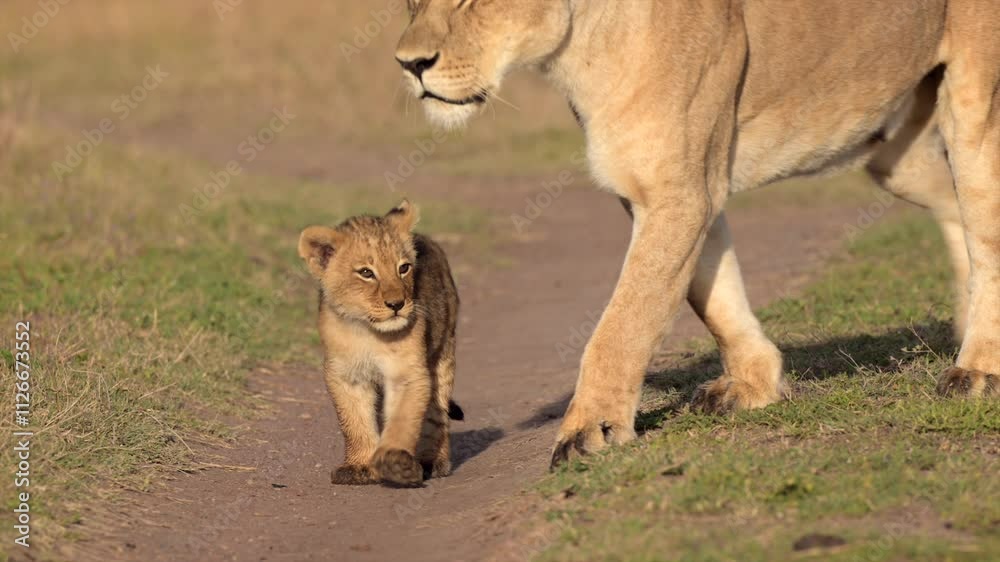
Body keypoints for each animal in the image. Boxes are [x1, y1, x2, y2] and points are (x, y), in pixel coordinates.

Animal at [395, 0, 1000, 468]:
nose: (410, 64)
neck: (580, 48)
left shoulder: (680, 191)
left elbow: (623, 323)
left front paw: (589, 430)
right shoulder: (665, 186)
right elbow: (712, 292)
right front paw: (756, 384)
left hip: (974, 110)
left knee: (984, 225)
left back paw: (977, 369)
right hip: (895, 152)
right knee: (954, 208)